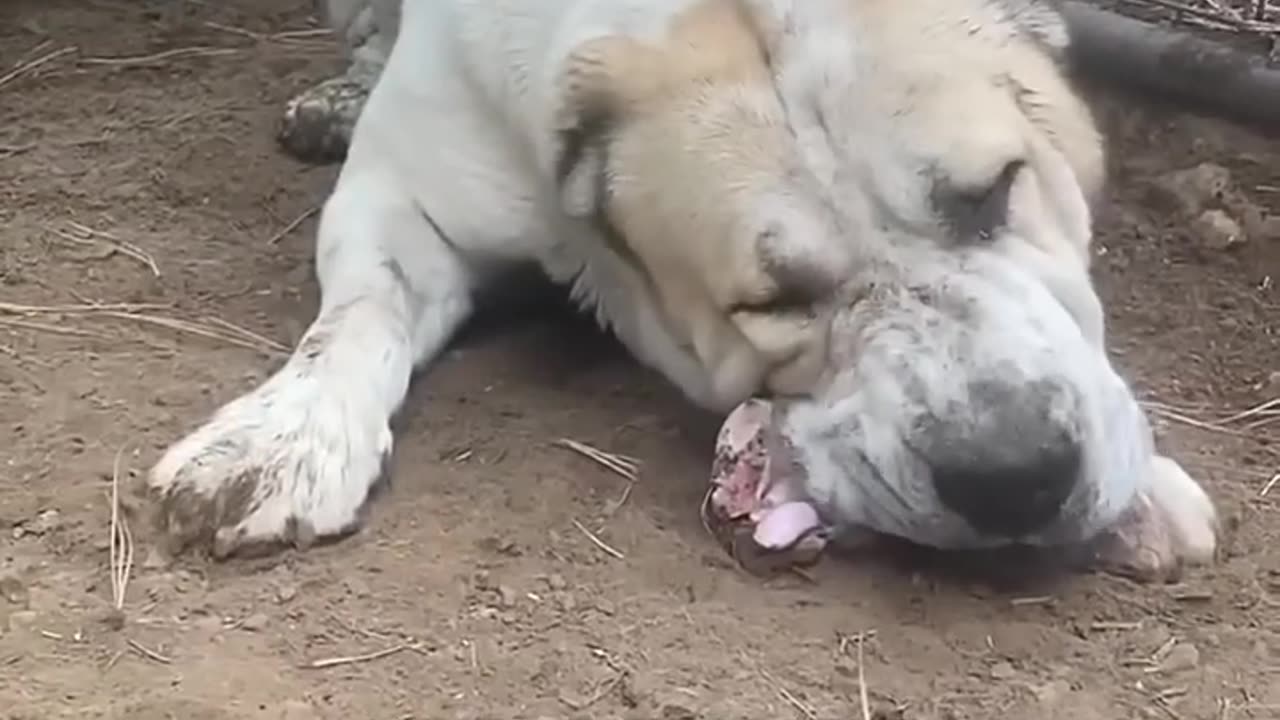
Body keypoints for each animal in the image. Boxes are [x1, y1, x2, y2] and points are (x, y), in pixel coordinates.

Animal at [149, 0, 1218, 576]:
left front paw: (1146, 490)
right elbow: (360, 313)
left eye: (997, 189)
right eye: (772, 303)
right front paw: (279, 440)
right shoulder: (401, 194)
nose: (1015, 474)